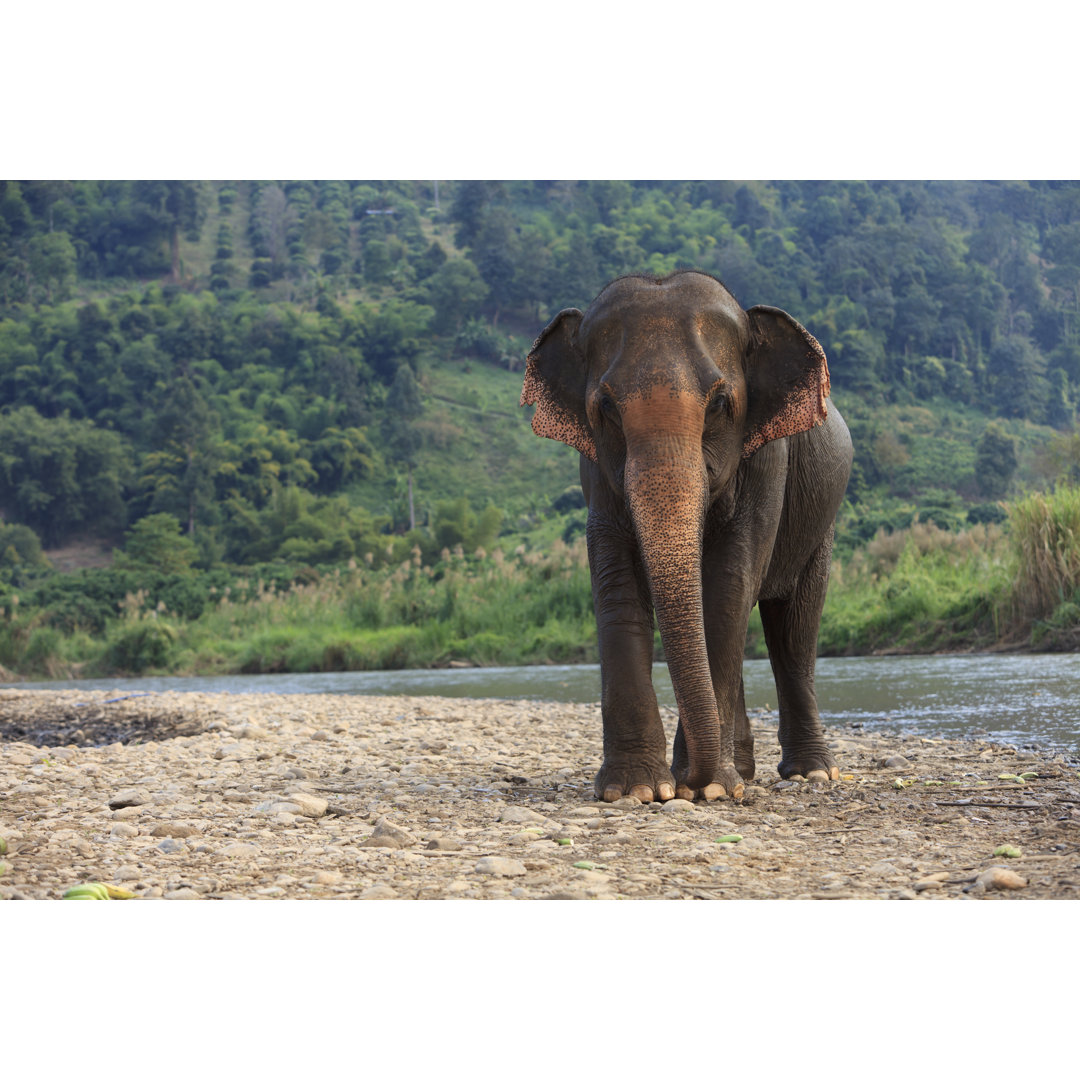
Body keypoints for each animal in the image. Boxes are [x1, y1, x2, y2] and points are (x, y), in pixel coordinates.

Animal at [522, 270, 851, 803]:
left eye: (719, 403)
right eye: (605, 407)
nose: (688, 781)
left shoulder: (767, 461)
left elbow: (728, 586)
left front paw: (709, 789)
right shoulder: (594, 469)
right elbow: (616, 583)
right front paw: (637, 790)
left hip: (821, 523)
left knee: (794, 628)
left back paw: (811, 774)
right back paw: (744, 771)